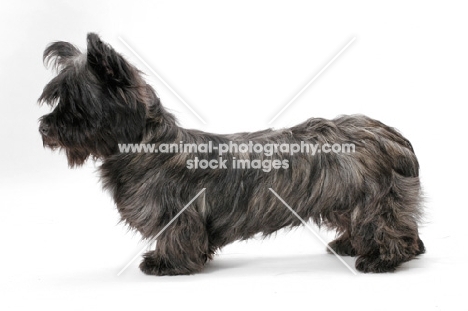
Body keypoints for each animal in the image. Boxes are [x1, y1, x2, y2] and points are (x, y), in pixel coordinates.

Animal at [37, 33, 424, 276]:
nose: (43, 129)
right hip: (347, 199)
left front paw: (167, 264)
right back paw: (352, 244)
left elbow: (176, 237)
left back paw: (382, 259)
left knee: (393, 230)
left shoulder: (179, 213)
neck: (148, 143)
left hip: (375, 200)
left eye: (76, 104)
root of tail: (392, 136)